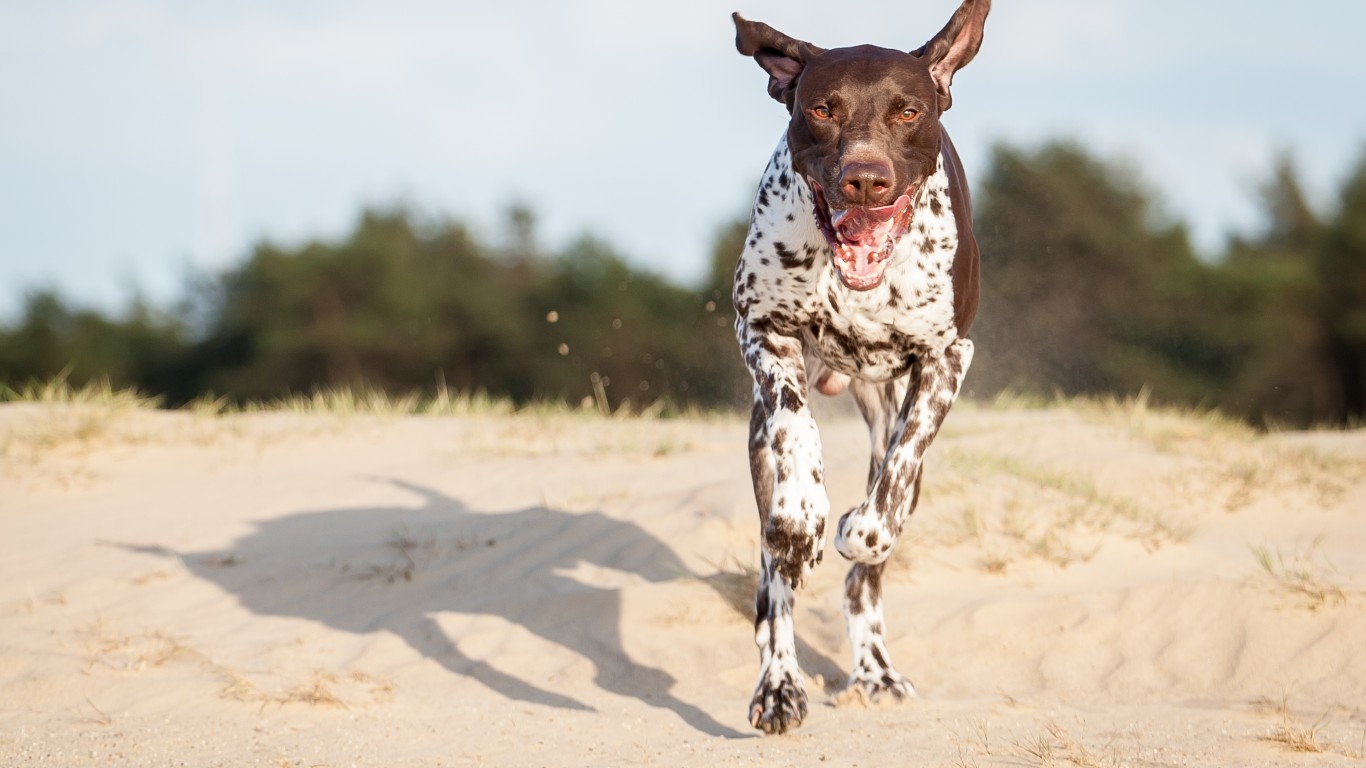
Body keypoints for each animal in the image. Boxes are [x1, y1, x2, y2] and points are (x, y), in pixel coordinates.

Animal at [732, 0, 988, 727]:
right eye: (823, 108)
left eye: (907, 111)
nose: (866, 179)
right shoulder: (762, 330)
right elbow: (796, 430)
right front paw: (804, 514)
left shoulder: (947, 358)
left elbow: (884, 506)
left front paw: (855, 526)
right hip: (758, 449)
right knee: (775, 592)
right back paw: (779, 685)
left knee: (867, 569)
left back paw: (875, 668)